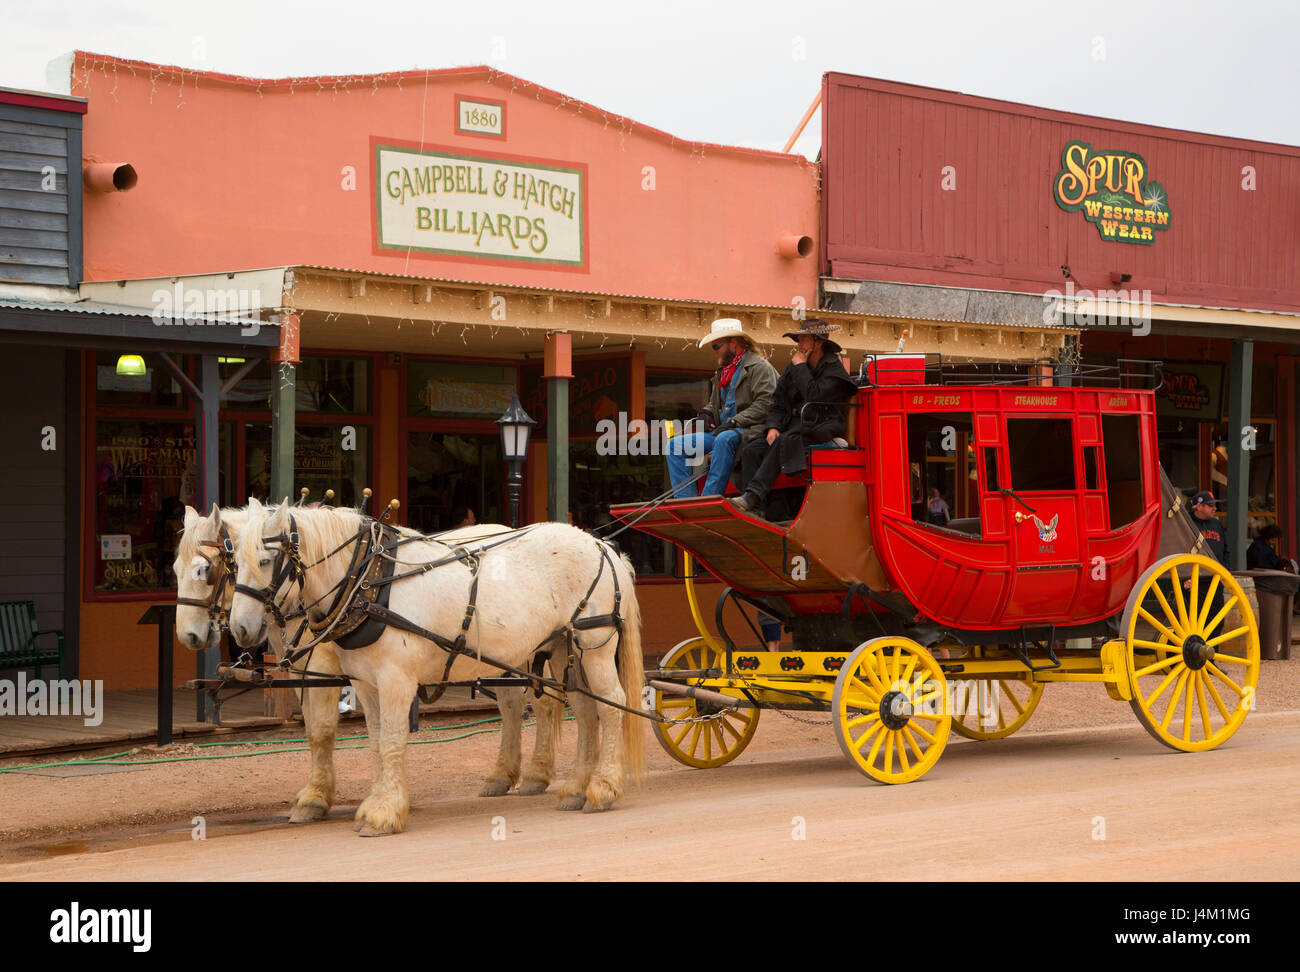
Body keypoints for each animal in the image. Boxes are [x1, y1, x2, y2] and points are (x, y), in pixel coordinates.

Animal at [176, 504, 569, 826]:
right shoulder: (308, 672)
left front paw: (316, 798)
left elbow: (323, 731)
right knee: (513, 706)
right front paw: (319, 794)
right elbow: (315, 732)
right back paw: (503, 775)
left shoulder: (327, 668)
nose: (189, 636)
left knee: (544, 704)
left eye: (204, 571)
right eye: (175, 570)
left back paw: (536, 774)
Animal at [231, 496, 647, 831]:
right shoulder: (365, 683)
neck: (371, 583)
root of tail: (601, 544)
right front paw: (374, 806)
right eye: (233, 562)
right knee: (586, 709)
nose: (239, 628)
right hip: (563, 647)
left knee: (612, 704)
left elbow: (392, 740)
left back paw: (602, 788)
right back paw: (576, 788)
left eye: (265, 560)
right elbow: (376, 743)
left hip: (593, 642)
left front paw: (384, 814)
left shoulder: (396, 679)